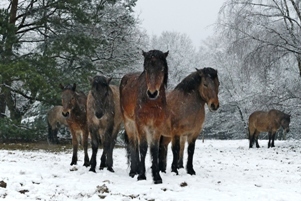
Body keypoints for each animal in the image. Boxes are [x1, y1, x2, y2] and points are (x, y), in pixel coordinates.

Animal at [119, 49, 171, 184]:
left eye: (162, 68)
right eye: (147, 69)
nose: (152, 93)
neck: (152, 103)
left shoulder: (157, 126)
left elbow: (154, 149)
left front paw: (156, 177)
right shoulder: (141, 124)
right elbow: (143, 147)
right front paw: (142, 175)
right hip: (130, 123)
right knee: (133, 144)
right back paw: (134, 171)